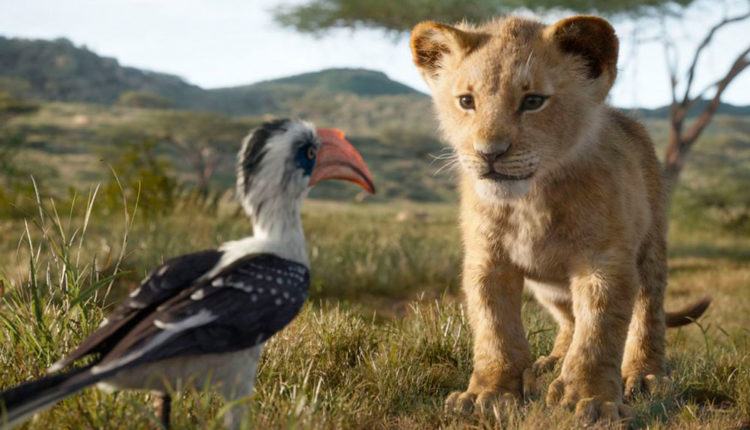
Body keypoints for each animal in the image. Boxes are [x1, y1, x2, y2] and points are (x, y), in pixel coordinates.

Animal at [410, 15, 711, 423]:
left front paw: (591, 399)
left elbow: (599, 333)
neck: (530, 201)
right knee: (569, 319)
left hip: (651, 248)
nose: (489, 153)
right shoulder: (487, 260)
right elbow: (494, 329)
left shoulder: (604, 261)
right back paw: (551, 362)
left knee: (648, 312)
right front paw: (489, 393)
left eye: (533, 101)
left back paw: (644, 375)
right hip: (549, 287)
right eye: (467, 101)